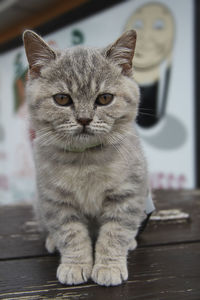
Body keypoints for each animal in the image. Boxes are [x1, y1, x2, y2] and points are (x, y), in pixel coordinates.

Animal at [23, 28, 148, 286]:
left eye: (104, 98)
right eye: (62, 99)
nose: (83, 119)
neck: (86, 160)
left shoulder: (128, 194)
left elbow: (115, 232)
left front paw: (109, 266)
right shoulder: (55, 200)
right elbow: (70, 234)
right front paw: (75, 265)